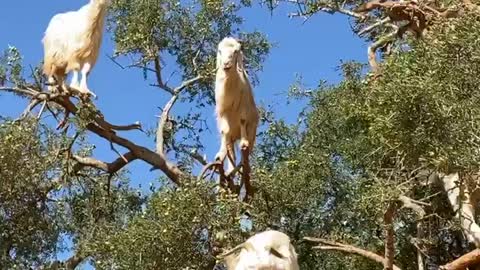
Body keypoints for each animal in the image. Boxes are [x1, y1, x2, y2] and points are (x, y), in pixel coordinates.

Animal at [214, 37, 258, 174]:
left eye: (235, 52)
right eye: (220, 51)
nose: (226, 64)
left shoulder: (243, 108)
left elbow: (242, 120)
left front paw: (244, 143)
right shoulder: (222, 111)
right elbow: (224, 131)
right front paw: (219, 155)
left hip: (252, 131)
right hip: (231, 138)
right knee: (231, 153)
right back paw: (230, 169)